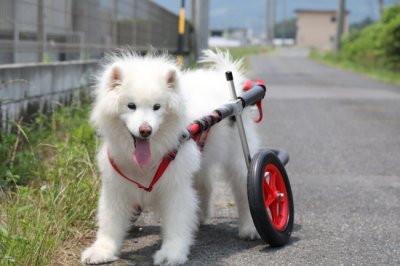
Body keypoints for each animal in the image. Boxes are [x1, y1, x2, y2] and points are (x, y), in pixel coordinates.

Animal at [82, 49, 260, 264]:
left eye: (157, 107)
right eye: (131, 105)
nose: (145, 130)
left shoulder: (175, 186)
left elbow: (176, 222)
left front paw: (171, 254)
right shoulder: (116, 185)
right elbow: (110, 221)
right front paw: (102, 250)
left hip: (239, 158)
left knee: (244, 190)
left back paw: (251, 228)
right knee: (205, 185)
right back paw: (200, 216)